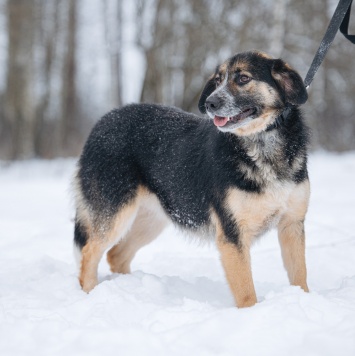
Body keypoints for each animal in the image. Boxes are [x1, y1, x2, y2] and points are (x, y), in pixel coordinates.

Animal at [73, 50, 310, 308]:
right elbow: (247, 294)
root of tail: (100, 124)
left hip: (151, 219)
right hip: (116, 213)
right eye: (218, 80)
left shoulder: (292, 225)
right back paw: (90, 295)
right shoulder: (232, 234)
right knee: (89, 252)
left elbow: (300, 276)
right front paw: (251, 314)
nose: (210, 103)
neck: (261, 145)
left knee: (116, 255)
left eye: (243, 78)